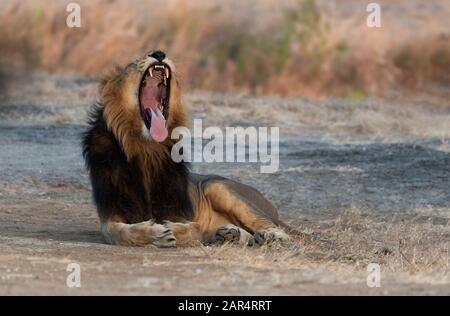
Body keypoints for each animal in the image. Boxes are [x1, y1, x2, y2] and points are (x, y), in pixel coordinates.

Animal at [81, 50, 292, 247]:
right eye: (133, 63)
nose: (159, 53)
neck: (146, 149)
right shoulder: (110, 214)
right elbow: (119, 232)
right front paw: (155, 233)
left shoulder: (181, 213)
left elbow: (195, 228)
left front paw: (166, 230)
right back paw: (229, 234)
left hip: (216, 186)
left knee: (272, 227)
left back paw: (269, 236)